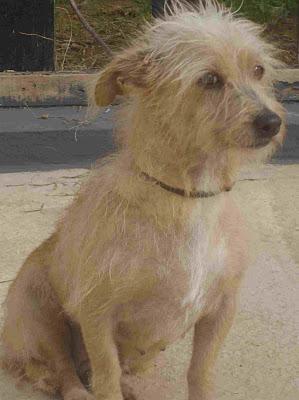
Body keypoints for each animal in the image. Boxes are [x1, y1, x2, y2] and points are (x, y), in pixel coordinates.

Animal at [0, 0, 286, 400]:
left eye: (258, 70)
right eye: (209, 79)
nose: (272, 123)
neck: (189, 197)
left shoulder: (221, 309)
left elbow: (199, 373)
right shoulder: (96, 314)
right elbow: (105, 379)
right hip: (39, 313)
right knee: (66, 372)